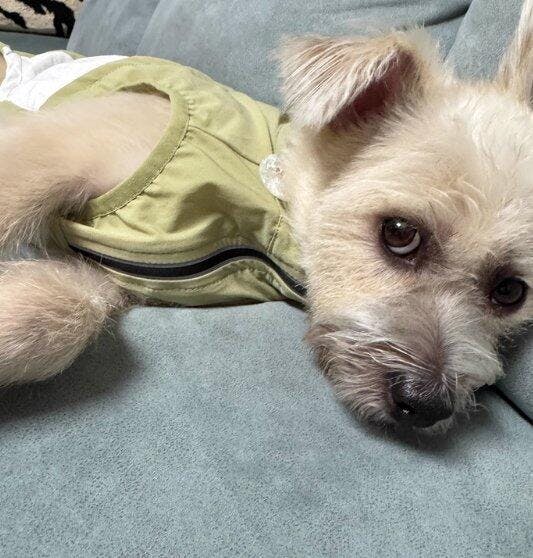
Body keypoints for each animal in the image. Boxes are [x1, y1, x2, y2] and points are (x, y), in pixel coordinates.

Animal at [0, 2, 531, 433]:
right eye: (400, 233)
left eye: (510, 291)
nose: (425, 407)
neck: (269, 205)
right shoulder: (56, 150)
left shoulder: (116, 270)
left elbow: (62, 311)